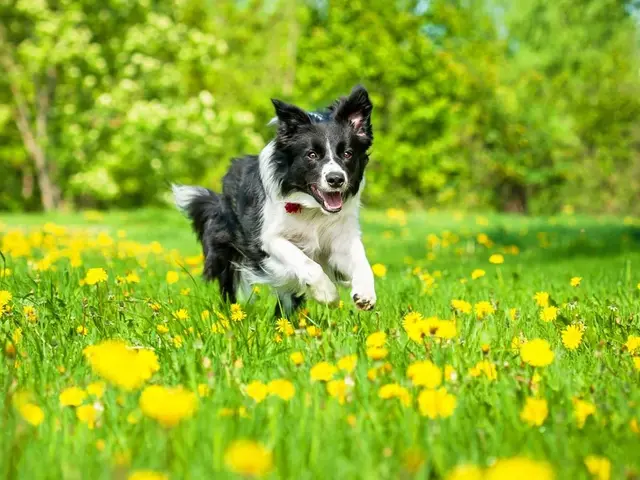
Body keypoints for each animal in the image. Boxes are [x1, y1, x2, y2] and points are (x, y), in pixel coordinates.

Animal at [172, 84, 378, 316]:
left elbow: (361, 260)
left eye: (348, 153)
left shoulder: (340, 237)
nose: (336, 179)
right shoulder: (267, 239)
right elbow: (305, 262)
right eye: (312, 155)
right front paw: (328, 294)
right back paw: (231, 314)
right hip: (225, 251)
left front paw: (365, 293)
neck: (312, 209)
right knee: (228, 286)